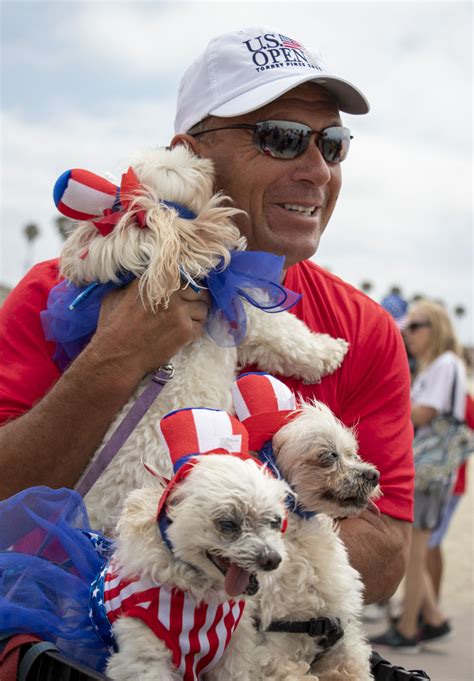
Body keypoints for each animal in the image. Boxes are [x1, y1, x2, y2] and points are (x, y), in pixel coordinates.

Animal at [231, 372, 380, 680]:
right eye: (330, 455)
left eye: (352, 453)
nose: (374, 475)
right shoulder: (268, 652)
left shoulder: (343, 641)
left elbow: (354, 667)